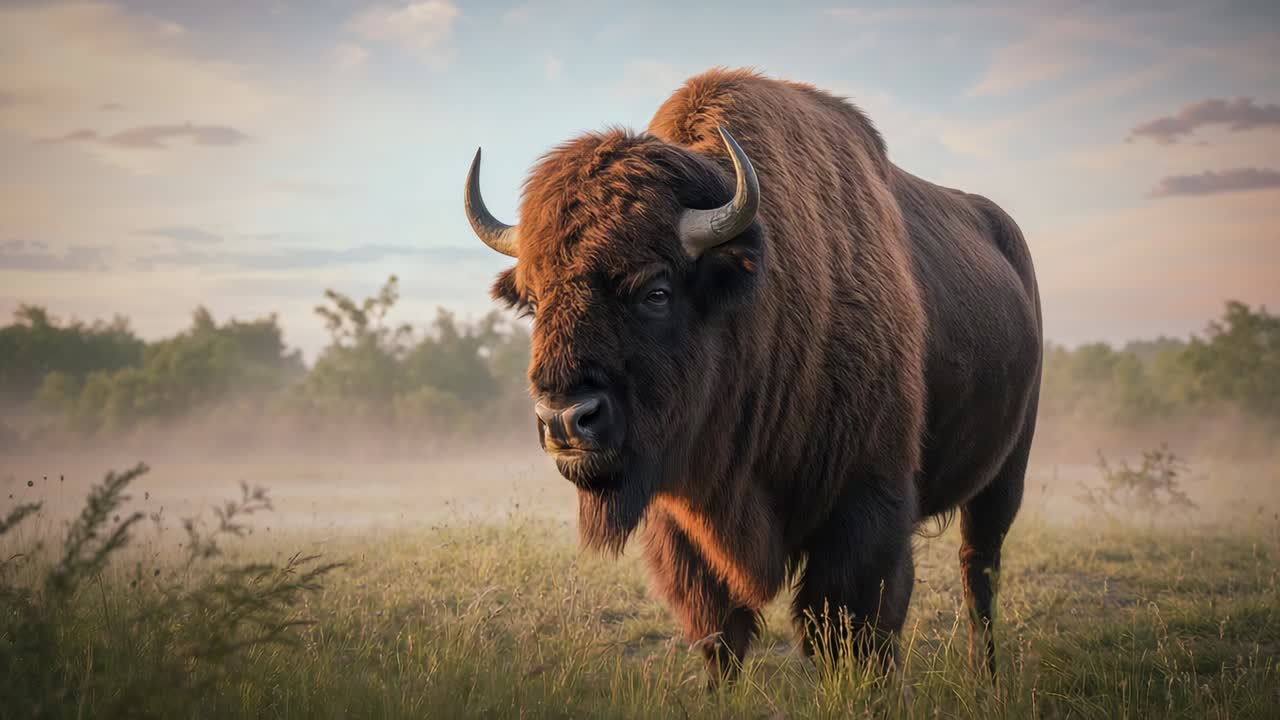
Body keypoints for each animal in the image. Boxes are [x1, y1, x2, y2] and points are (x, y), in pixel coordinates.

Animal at [463, 68, 1042, 683]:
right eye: (532, 301)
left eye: (656, 291)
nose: (566, 420)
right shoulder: (684, 526)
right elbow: (720, 633)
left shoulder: (868, 507)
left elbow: (853, 630)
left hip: (1007, 473)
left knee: (979, 569)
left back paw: (987, 677)